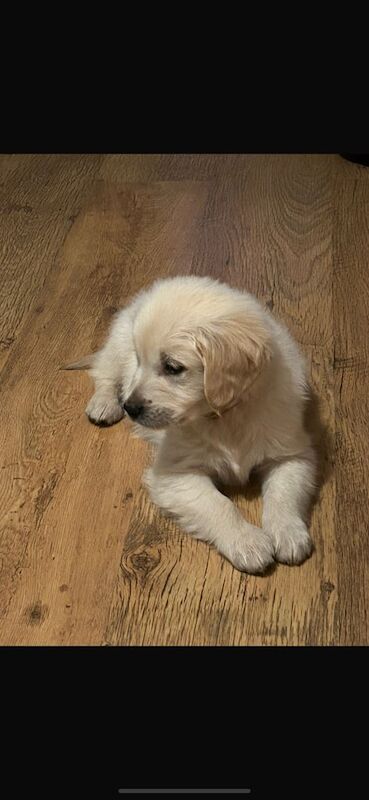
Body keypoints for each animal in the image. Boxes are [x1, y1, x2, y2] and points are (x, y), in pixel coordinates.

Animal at [64, 278, 314, 572]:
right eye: (140, 359)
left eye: (173, 367)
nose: (130, 408)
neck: (226, 417)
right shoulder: (174, 474)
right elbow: (218, 504)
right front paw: (247, 543)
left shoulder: (291, 454)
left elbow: (282, 494)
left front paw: (288, 533)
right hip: (118, 346)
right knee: (104, 374)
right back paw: (104, 404)